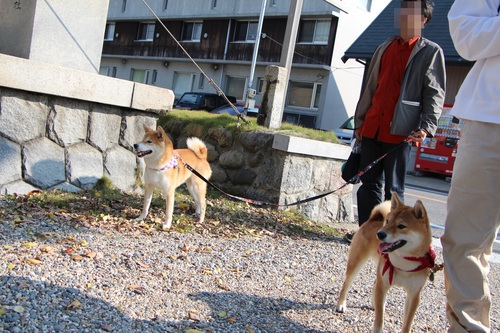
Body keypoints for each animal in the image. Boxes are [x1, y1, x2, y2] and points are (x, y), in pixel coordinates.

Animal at [336, 192, 438, 332]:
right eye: (388, 221)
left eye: (401, 226)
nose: (380, 234)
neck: (404, 264)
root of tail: (374, 218)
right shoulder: (383, 284)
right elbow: (379, 320)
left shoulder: (414, 295)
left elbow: (407, 323)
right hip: (356, 264)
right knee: (346, 284)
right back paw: (341, 304)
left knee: (375, 284)